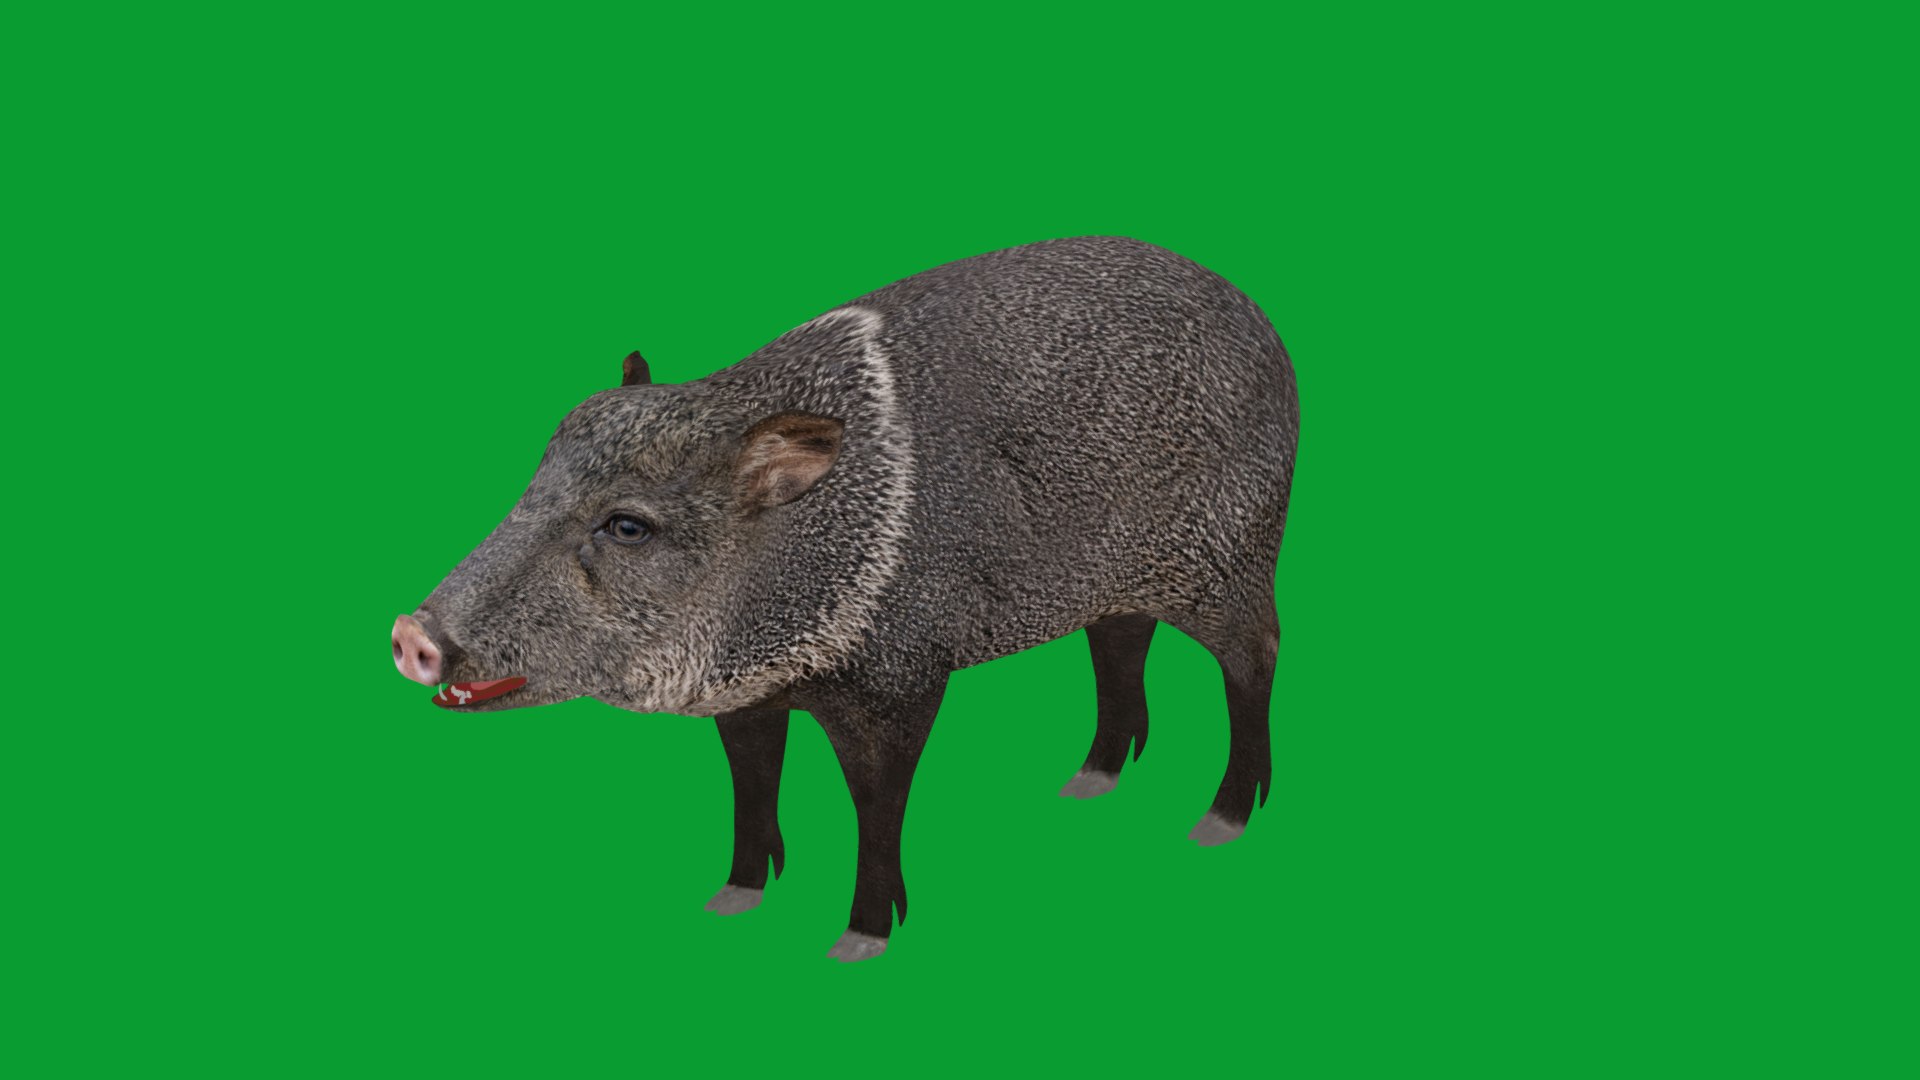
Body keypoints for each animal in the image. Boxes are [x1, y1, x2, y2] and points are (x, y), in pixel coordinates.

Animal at [391, 236, 1300, 961]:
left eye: (627, 527)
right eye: (532, 485)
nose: (409, 634)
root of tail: (1262, 322)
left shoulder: (901, 680)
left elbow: (877, 805)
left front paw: (859, 940)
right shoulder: (747, 692)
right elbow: (752, 782)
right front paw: (733, 899)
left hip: (1229, 564)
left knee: (1256, 657)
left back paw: (1221, 819)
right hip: (1115, 583)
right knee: (1121, 642)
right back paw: (1090, 780)